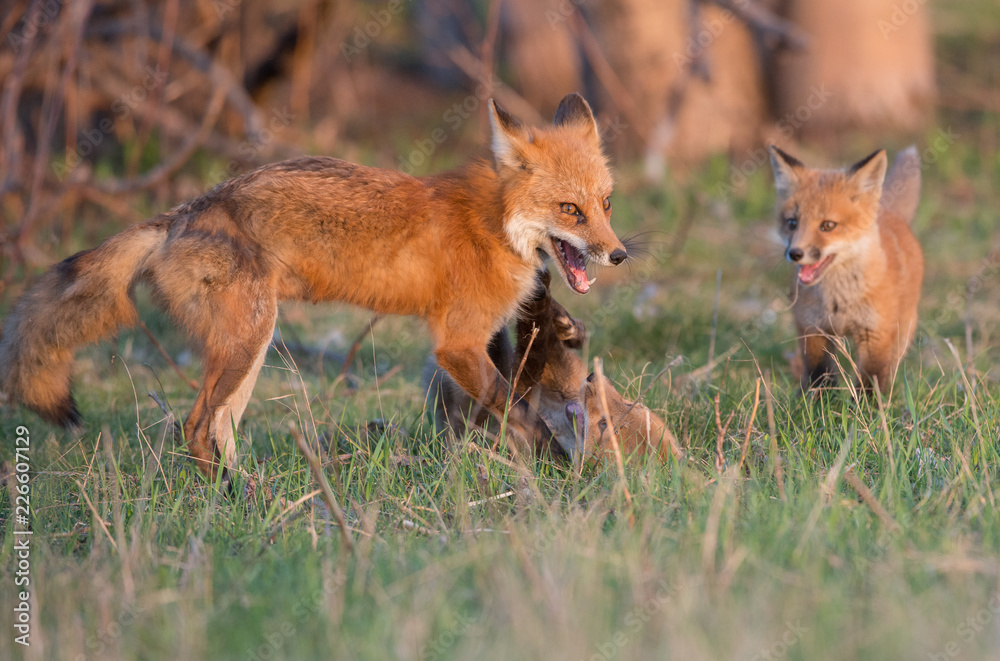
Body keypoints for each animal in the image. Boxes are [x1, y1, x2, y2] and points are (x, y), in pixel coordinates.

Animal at [0, 93, 627, 480]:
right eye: (570, 210)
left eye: (605, 204)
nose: (618, 254)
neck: (494, 223)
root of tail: (181, 214)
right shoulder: (456, 343)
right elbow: (521, 413)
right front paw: (565, 471)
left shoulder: (482, 341)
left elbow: (507, 408)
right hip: (247, 339)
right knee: (197, 427)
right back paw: (234, 499)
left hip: (248, 348)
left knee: (218, 429)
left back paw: (245, 498)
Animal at [425, 268, 681, 463]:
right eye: (630, 402)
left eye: (603, 424)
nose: (592, 377)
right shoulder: (561, 378)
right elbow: (545, 346)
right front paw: (559, 318)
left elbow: (528, 359)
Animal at [769, 145, 924, 393]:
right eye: (792, 223)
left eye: (828, 225)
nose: (795, 253)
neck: (838, 303)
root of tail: (890, 212)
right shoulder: (813, 330)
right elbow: (820, 378)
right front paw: (819, 402)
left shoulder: (876, 335)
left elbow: (870, 384)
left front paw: (869, 404)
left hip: (903, 332)